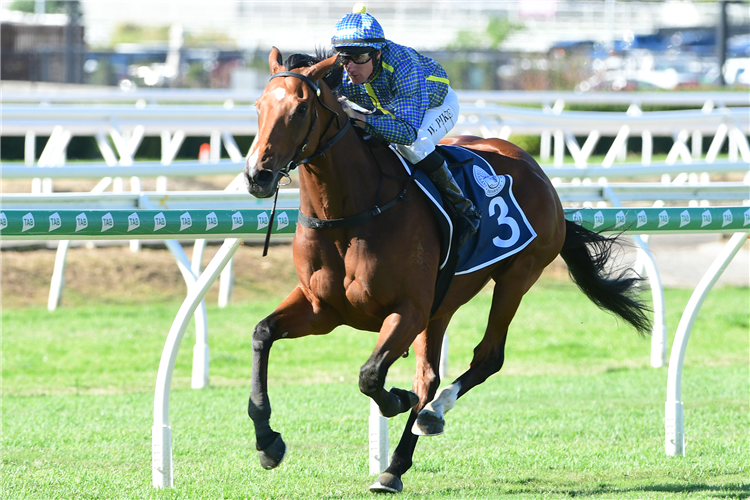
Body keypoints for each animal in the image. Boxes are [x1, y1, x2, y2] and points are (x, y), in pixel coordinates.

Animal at [242, 47, 652, 496]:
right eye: (259, 106)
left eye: (301, 109)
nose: (258, 174)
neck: (350, 213)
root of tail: (536, 168)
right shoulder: (323, 309)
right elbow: (263, 333)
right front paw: (267, 441)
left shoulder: (407, 309)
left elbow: (371, 375)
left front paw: (397, 400)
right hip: (444, 302)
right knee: (429, 376)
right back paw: (396, 464)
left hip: (516, 276)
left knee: (485, 358)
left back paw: (429, 417)